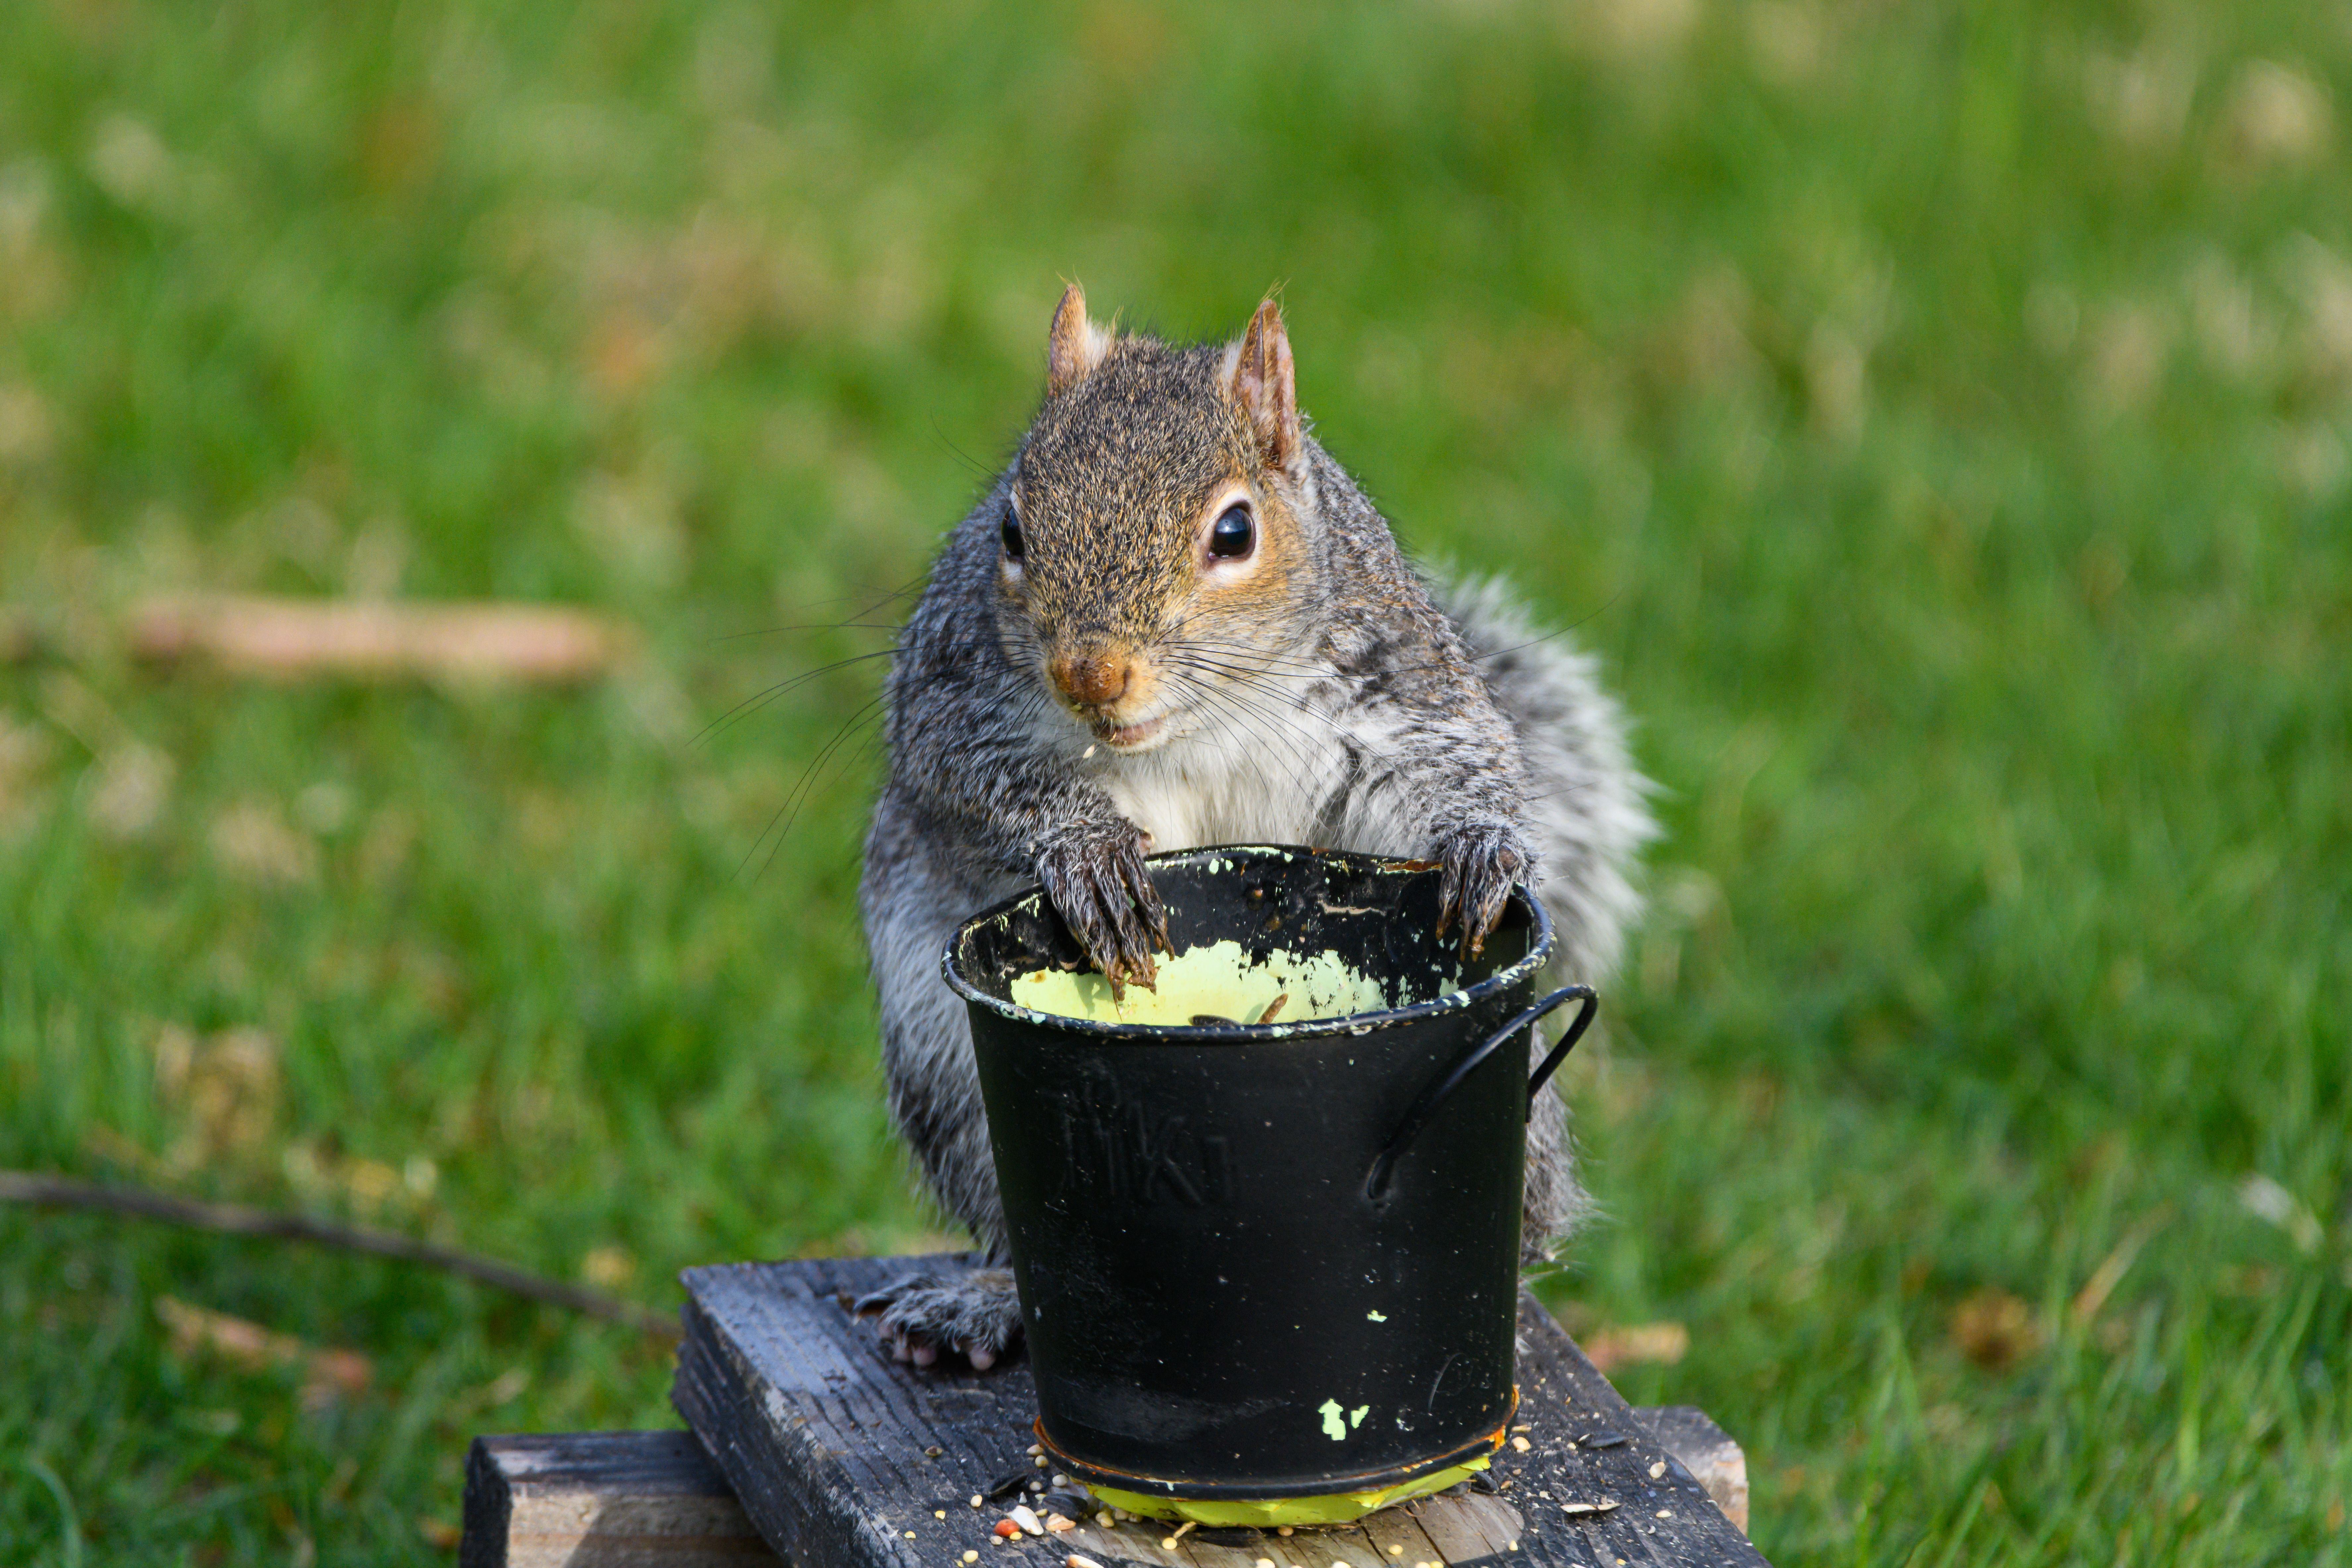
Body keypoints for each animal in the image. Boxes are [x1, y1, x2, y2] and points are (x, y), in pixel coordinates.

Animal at [855, 289, 1654, 1369]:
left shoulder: (1399, 682)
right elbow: (974, 777)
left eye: (1234, 532)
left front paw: (1481, 852)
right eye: (1011, 529)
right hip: (944, 1061)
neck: (1201, 721)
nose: (1088, 673)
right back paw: (983, 1300)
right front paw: (1087, 851)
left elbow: (1455, 760)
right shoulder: (948, 689)